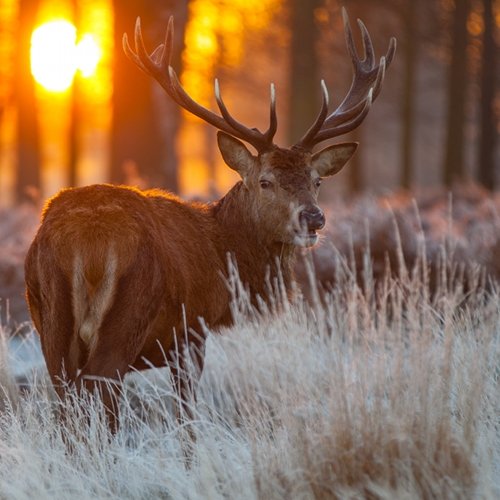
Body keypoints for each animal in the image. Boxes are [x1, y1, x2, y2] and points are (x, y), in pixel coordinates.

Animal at [25, 9, 396, 428]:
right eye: (265, 181)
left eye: (316, 180)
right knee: (101, 393)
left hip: (49, 317)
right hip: (129, 312)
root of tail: (86, 240)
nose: (314, 218)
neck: (223, 256)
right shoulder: (192, 332)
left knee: (64, 402)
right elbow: (186, 415)